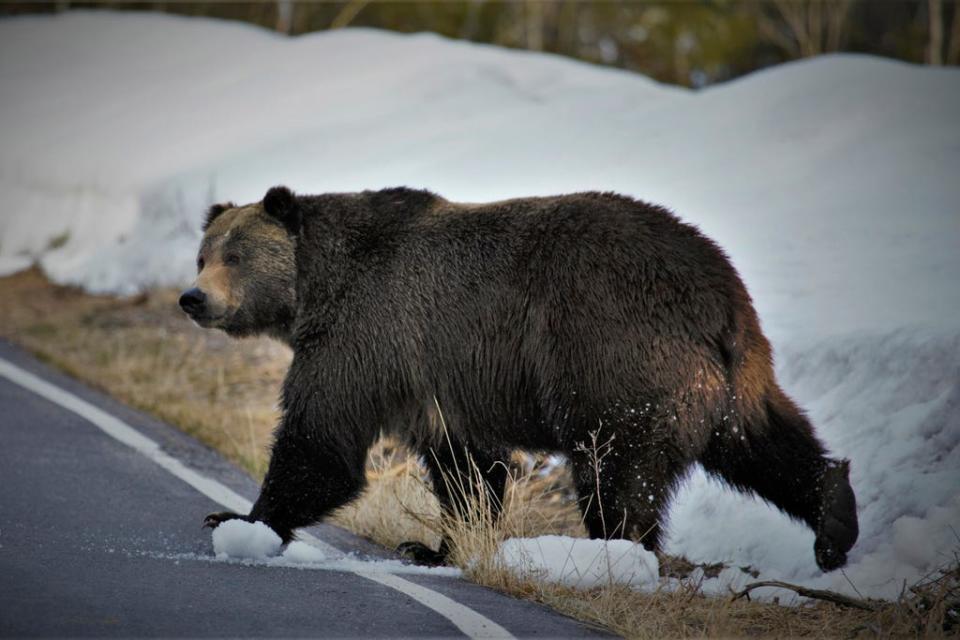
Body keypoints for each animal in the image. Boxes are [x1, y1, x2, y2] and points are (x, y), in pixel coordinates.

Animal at [184, 185, 860, 568]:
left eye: (235, 255)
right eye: (202, 254)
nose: (193, 298)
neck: (316, 289)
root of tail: (720, 292)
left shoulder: (367, 336)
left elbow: (321, 440)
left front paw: (240, 520)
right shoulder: (440, 382)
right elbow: (467, 470)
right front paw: (433, 547)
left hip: (614, 356)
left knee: (616, 472)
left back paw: (616, 553)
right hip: (734, 377)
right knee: (764, 442)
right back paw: (835, 519)